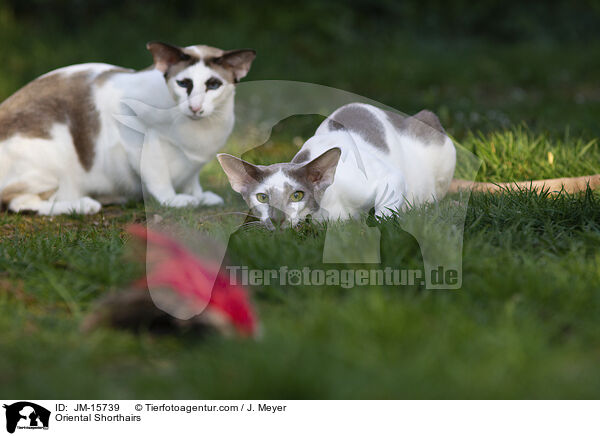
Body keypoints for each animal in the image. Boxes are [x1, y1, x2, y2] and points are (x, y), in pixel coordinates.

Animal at [0, 41, 255, 215]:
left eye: (213, 85)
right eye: (184, 84)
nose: (195, 107)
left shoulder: (195, 165)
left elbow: (193, 181)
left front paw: (200, 197)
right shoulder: (137, 135)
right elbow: (160, 179)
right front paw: (175, 200)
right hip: (52, 156)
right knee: (19, 203)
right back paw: (84, 204)